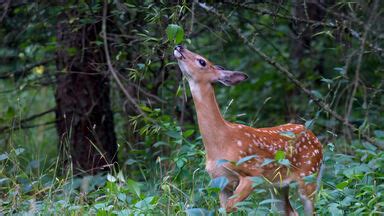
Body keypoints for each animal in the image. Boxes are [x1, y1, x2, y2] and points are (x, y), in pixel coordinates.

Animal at [175, 44, 324, 215]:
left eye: (202, 61)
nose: (179, 46)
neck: (220, 142)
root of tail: (317, 141)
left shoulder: (252, 174)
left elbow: (229, 207)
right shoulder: (221, 182)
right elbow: (223, 209)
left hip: (309, 175)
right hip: (278, 185)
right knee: (290, 211)